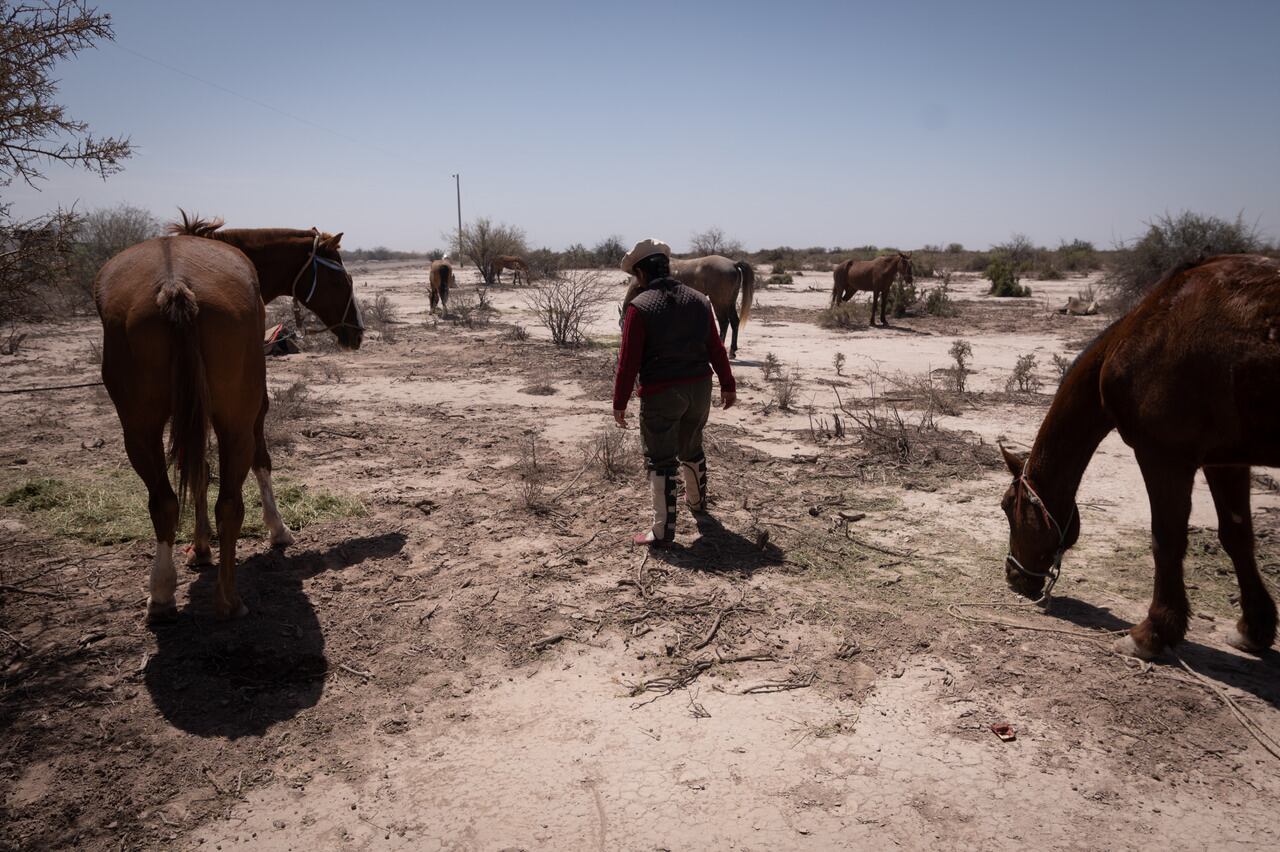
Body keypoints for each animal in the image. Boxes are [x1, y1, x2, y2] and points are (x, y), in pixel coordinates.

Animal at [96, 212, 360, 621]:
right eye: (341, 279)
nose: (356, 332)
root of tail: (174, 284)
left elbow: (197, 471)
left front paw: (200, 549)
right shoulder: (254, 408)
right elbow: (259, 462)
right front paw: (277, 530)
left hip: (139, 429)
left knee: (164, 502)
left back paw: (162, 593)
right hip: (234, 422)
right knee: (229, 504)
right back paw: (228, 600)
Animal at [998, 255, 1280, 660]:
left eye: (1007, 506)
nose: (1013, 576)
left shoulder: (1163, 455)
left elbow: (1167, 540)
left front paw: (1153, 632)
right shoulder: (1226, 461)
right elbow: (1237, 536)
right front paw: (1254, 629)